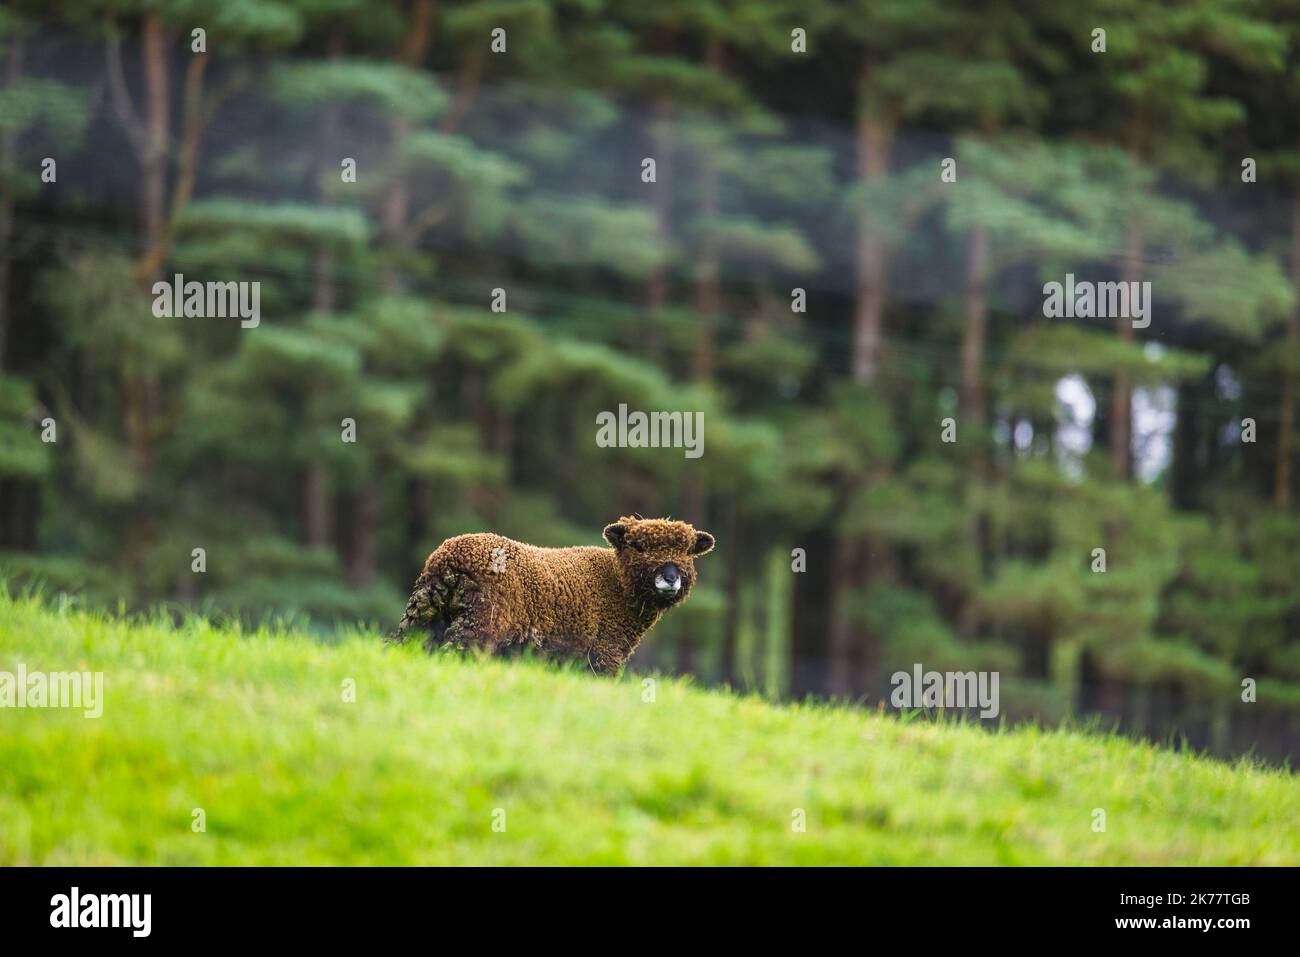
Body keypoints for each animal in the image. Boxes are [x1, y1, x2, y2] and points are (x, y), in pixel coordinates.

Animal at [388, 516, 715, 674]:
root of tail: (448, 559)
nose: (670, 578)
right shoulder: (604, 654)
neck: (616, 584)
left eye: (688, 551)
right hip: (480, 624)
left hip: (423, 612)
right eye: (638, 546)